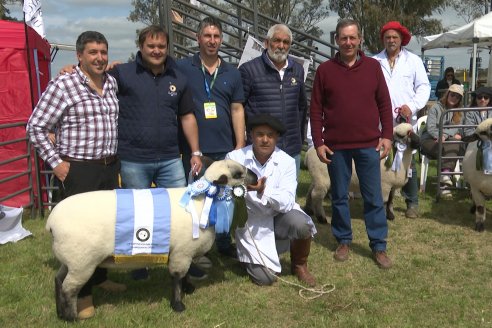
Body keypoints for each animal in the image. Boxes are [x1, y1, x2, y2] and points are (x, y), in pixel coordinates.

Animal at [45, 160, 258, 322]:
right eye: (238, 174)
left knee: (58, 280)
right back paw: (71, 317)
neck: (203, 200)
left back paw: (60, 313)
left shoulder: (184, 252)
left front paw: (188, 289)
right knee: (69, 289)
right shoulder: (182, 252)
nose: (256, 178)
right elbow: (177, 277)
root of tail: (51, 222)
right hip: (82, 261)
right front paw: (178, 304)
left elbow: (185, 275)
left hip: (71, 260)